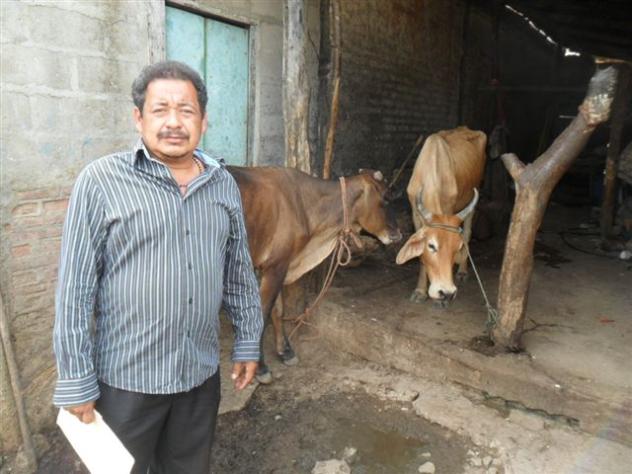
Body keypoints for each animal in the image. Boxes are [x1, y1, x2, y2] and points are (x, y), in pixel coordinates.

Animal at [229, 166, 402, 382]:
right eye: (385, 199)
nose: (398, 234)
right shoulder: (275, 266)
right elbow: (262, 313)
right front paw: (261, 368)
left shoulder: (276, 265)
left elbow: (278, 310)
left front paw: (285, 352)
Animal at [395, 127, 487, 306]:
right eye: (431, 246)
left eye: (457, 247)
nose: (447, 293)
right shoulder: (415, 214)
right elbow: (421, 257)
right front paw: (420, 291)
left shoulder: (450, 209)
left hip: (473, 198)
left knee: (467, 232)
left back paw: (462, 272)